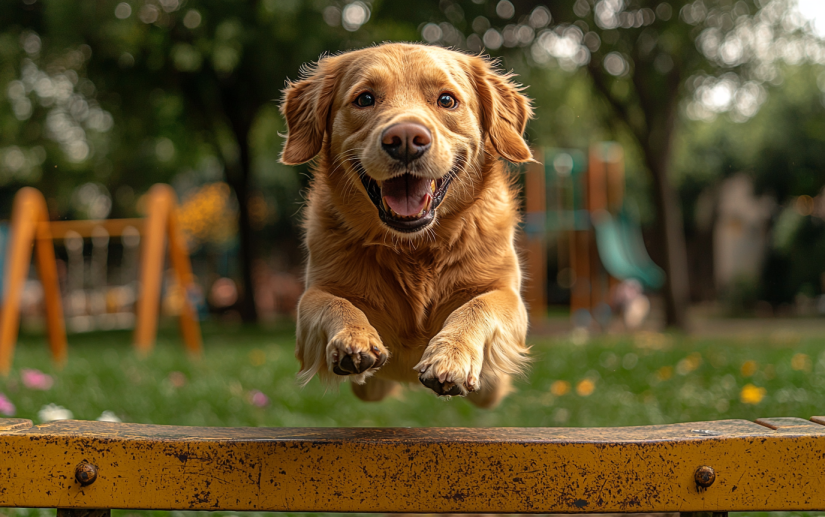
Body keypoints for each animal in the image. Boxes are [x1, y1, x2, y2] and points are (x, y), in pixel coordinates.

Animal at [280, 42, 532, 408]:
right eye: (365, 99)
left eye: (447, 100)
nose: (406, 138)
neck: (415, 248)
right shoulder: (314, 294)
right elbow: (330, 301)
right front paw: (353, 338)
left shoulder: (507, 295)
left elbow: (477, 306)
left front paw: (450, 358)